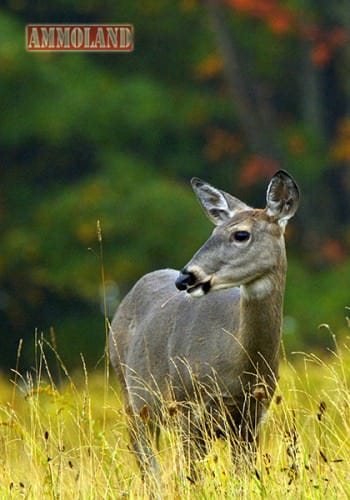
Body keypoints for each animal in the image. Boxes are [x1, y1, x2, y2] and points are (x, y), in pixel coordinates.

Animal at [109, 171, 298, 476]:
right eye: (213, 232)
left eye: (241, 234)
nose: (185, 278)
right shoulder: (187, 407)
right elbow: (191, 475)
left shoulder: (253, 416)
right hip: (132, 396)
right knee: (146, 461)